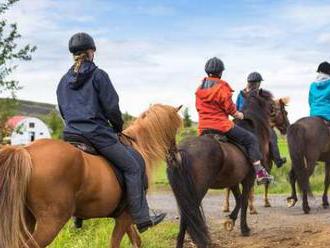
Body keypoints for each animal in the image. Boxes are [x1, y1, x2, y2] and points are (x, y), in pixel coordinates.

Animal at [0, 103, 182, 248]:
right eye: (174, 128)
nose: (177, 158)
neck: (137, 146)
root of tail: (26, 151)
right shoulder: (126, 216)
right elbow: (117, 243)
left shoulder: (124, 216)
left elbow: (136, 240)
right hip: (51, 222)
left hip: (26, 219)